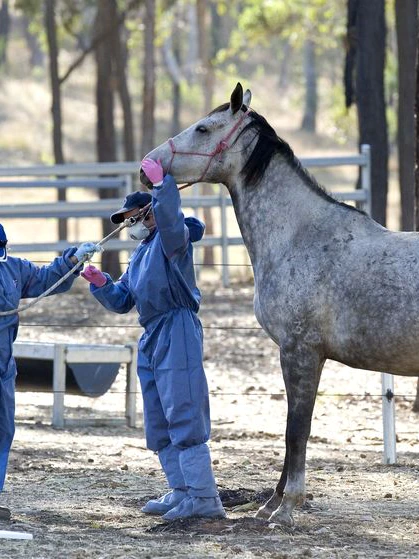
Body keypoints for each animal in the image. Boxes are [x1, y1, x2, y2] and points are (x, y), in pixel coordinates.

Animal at [142, 82, 419, 524]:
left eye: (202, 128)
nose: (146, 166)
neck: (299, 237)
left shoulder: (300, 352)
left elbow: (296, 430)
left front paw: (287, 507)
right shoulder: (300, 356)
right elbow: (291, 428)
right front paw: (271, 503)